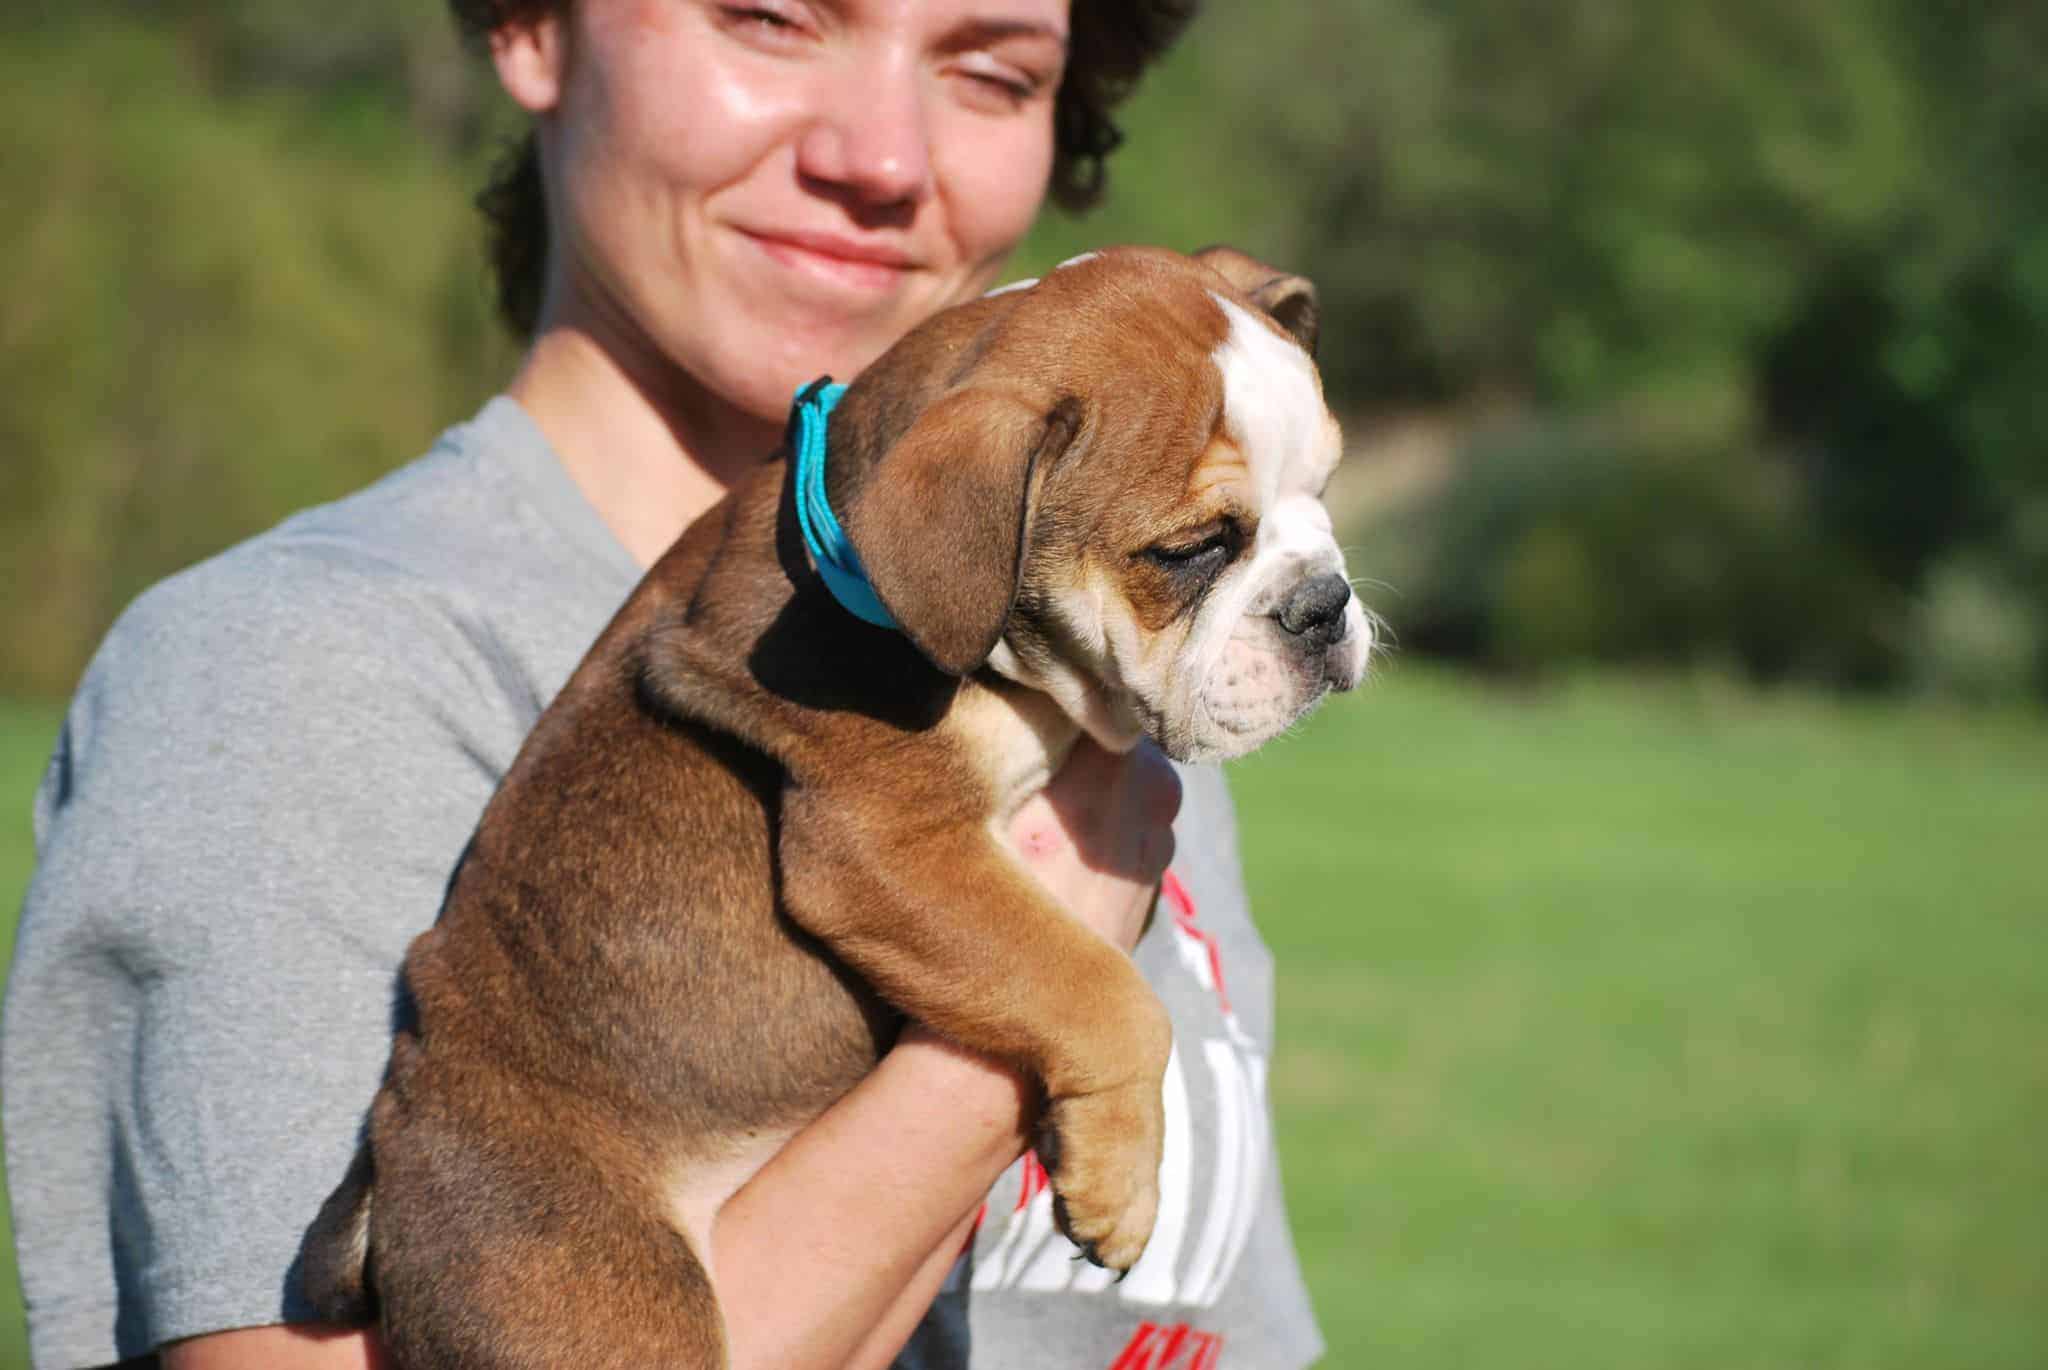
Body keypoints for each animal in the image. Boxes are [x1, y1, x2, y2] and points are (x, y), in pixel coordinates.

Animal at [303, 248, 1376, 1367]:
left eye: (1321, 496)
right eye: (1190, 550)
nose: (1325, 602)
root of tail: (396, 1155)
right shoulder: (882, 846)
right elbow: (1099, 989)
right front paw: (1120, 1185)